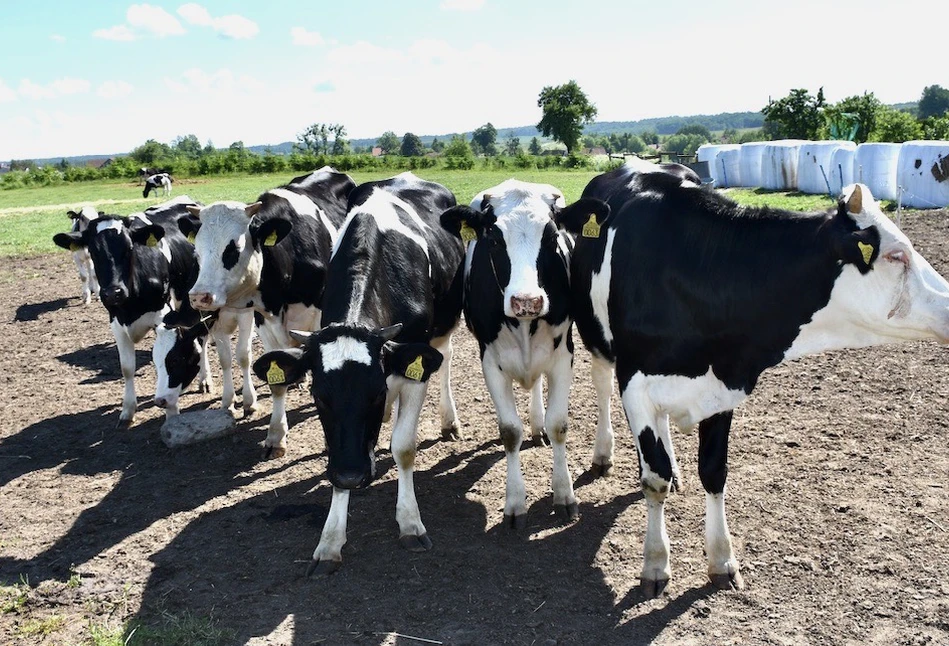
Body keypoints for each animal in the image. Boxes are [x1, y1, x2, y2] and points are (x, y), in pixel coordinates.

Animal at [53, 197, 202, 430]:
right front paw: (128, 410)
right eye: (93, 251)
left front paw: (171, 414)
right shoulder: (116, 323)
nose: (113, 293)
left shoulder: (163, 315)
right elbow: (127, 368)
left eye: (129, 248)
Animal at [181, 170, 352, 458]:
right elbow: (276, 380)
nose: (198, 296)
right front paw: (276, 436)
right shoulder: (263, 319)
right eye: (197, 251)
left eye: (233, 249)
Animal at [250, 170, 462, 576]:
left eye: (375, 393)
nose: (351, 475)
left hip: (444, 327)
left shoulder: (412, 368)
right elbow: (336, 448)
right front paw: (331, 539)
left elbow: (405, 448)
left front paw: (410, 522)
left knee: (443, 361)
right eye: (319, 397)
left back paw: (448, 422)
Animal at [436, 180, 576, 528]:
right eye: (495, 240)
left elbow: (559, 425)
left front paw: (564, 494)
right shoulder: (491, 363)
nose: (527, 301)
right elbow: (510, 432)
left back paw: (537, 425)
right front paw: (515, 503)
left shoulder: (563, 356)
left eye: (551, 237)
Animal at [560, 166, 948, 596]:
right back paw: (603, 453)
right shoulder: (636, 383)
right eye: (897, 255)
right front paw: (656, 563)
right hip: (596, 340)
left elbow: (714, 471)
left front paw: (721, 559)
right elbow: (653, 478)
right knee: (601, 387)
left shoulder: (721, 385)